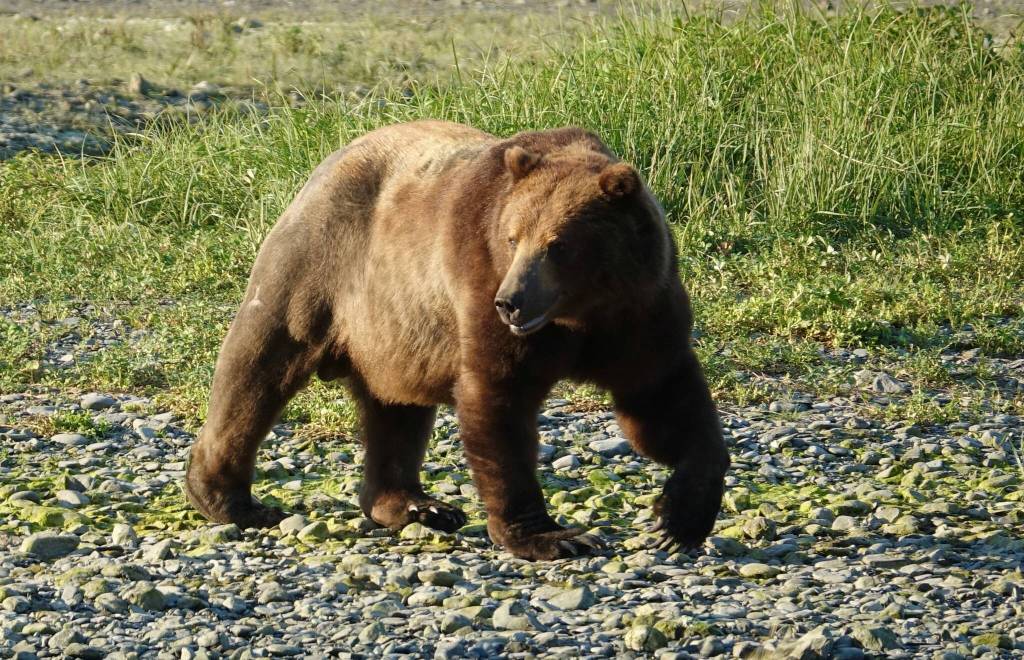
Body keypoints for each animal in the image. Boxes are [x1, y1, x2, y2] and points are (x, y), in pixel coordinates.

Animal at [184, 120, 730, 560]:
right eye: (513, 237)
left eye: (558, 245)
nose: (511, 301)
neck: (580, 315)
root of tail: (327, 163)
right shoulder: (480, 279)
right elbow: (497, 401)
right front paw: (553, 536)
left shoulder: (641, 312)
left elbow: (660, 400)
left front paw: (676, 520)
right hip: (316, 268)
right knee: (257, 367)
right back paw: (231, 500)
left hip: (395, 332)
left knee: (395, 410)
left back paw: (414, 504)